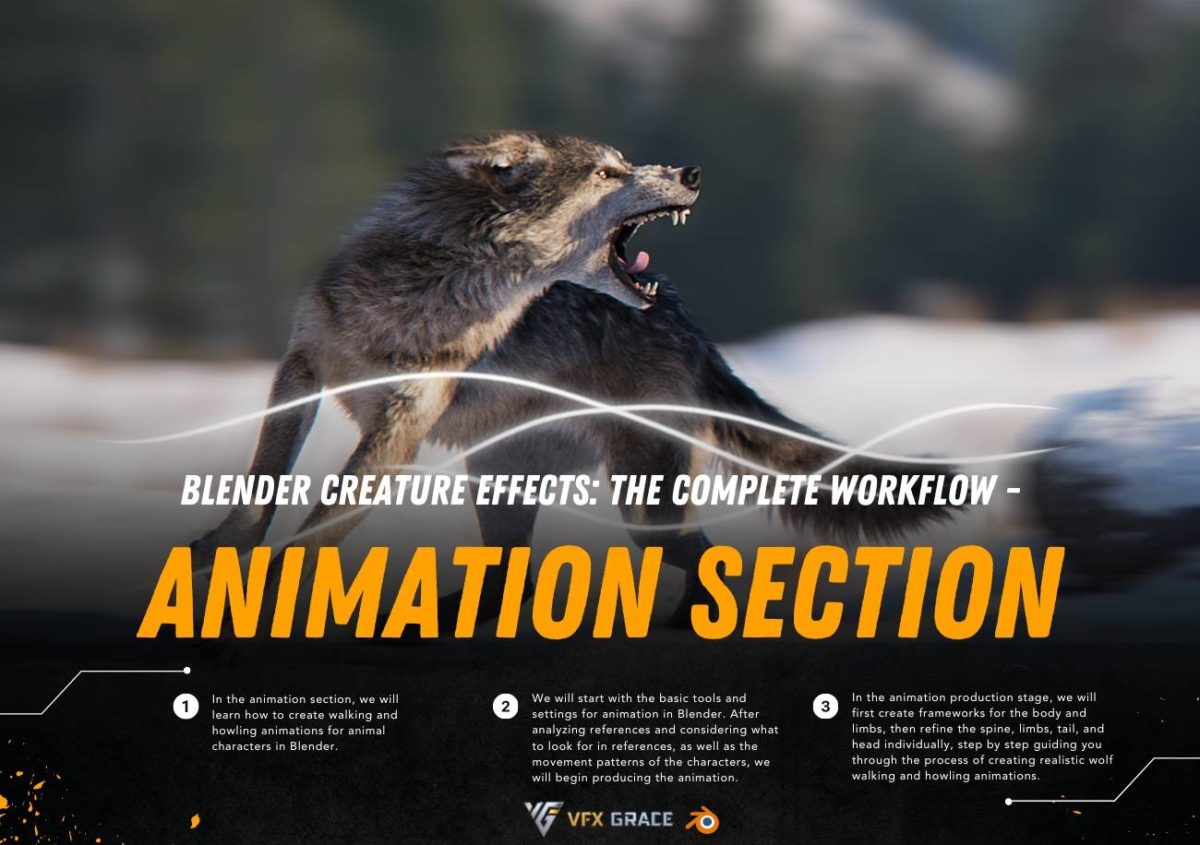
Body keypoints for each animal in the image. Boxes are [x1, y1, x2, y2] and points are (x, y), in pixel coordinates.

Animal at [190, 131, 703, 564]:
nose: (692, 173)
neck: (421, 299)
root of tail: (685, 321)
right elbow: (259, 492)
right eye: (606, 172)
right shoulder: (302, 365)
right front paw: (208, 554)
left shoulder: (398, 433)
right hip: (502, 480)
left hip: (642, 512)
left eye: (622, 165)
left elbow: (310, 539)